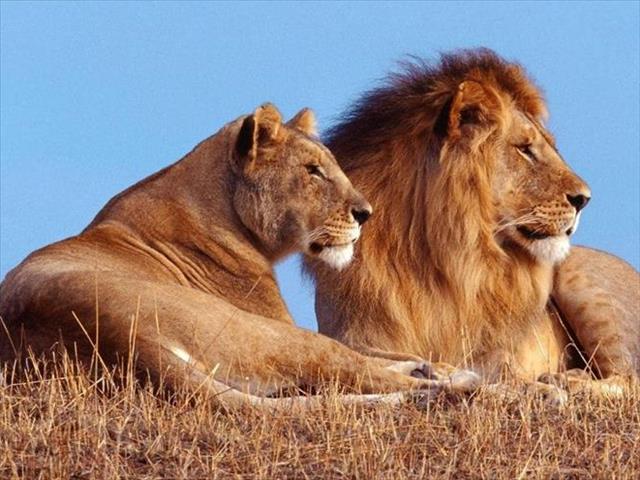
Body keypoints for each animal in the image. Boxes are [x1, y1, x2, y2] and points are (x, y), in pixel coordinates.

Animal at [0, 103, 478, 410]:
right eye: (312, 171)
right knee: (349, 368)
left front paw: (426, 364)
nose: (366, 213)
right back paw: (454, 384)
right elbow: (365, 354)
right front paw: (437, 369)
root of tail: (118, 338)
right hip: (264, 333)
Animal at [305, 49, 639, 399]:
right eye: (525, 149)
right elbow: (367, 357)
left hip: (581, 279)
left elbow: (495, 369)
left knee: (629, 378)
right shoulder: (347, 332)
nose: (584, 198)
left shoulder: (494, 352)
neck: (436, 257)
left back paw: (565, 380)